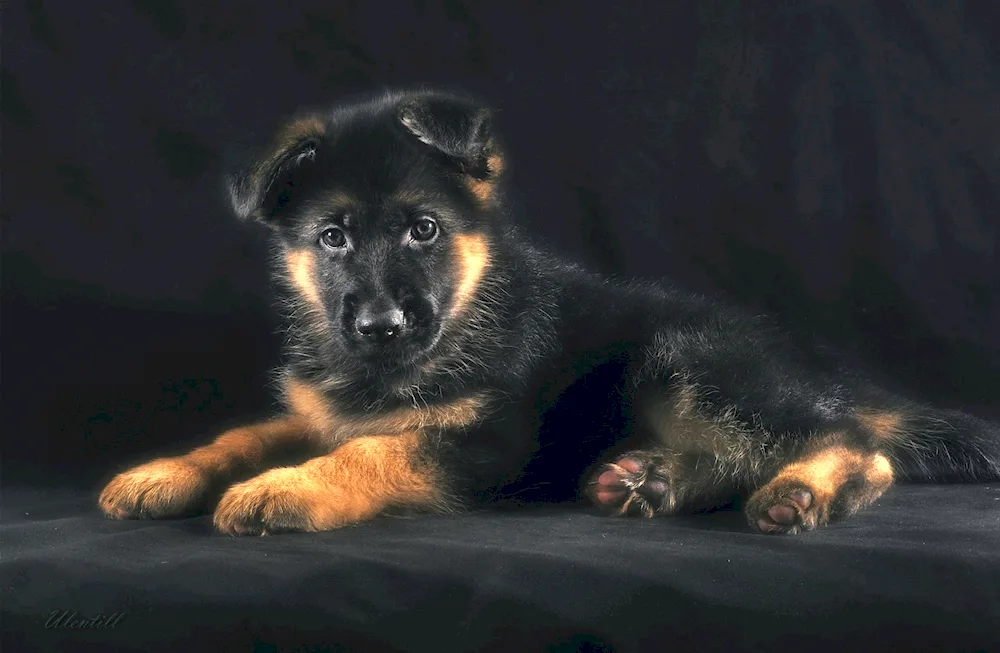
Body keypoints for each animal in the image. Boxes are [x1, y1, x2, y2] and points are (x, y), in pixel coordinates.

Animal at [97, 86, 1000, 536]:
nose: (383, 327)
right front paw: (165, 471)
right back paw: (649, 479)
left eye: (425, 229)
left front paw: (287, 487)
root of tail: (832, 374)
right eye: (332, 237)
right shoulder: (319, 412)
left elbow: (378, 450)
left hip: (691, 354)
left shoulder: (488, 439)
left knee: (854, 444)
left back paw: (801, 491)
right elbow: (245, 433)